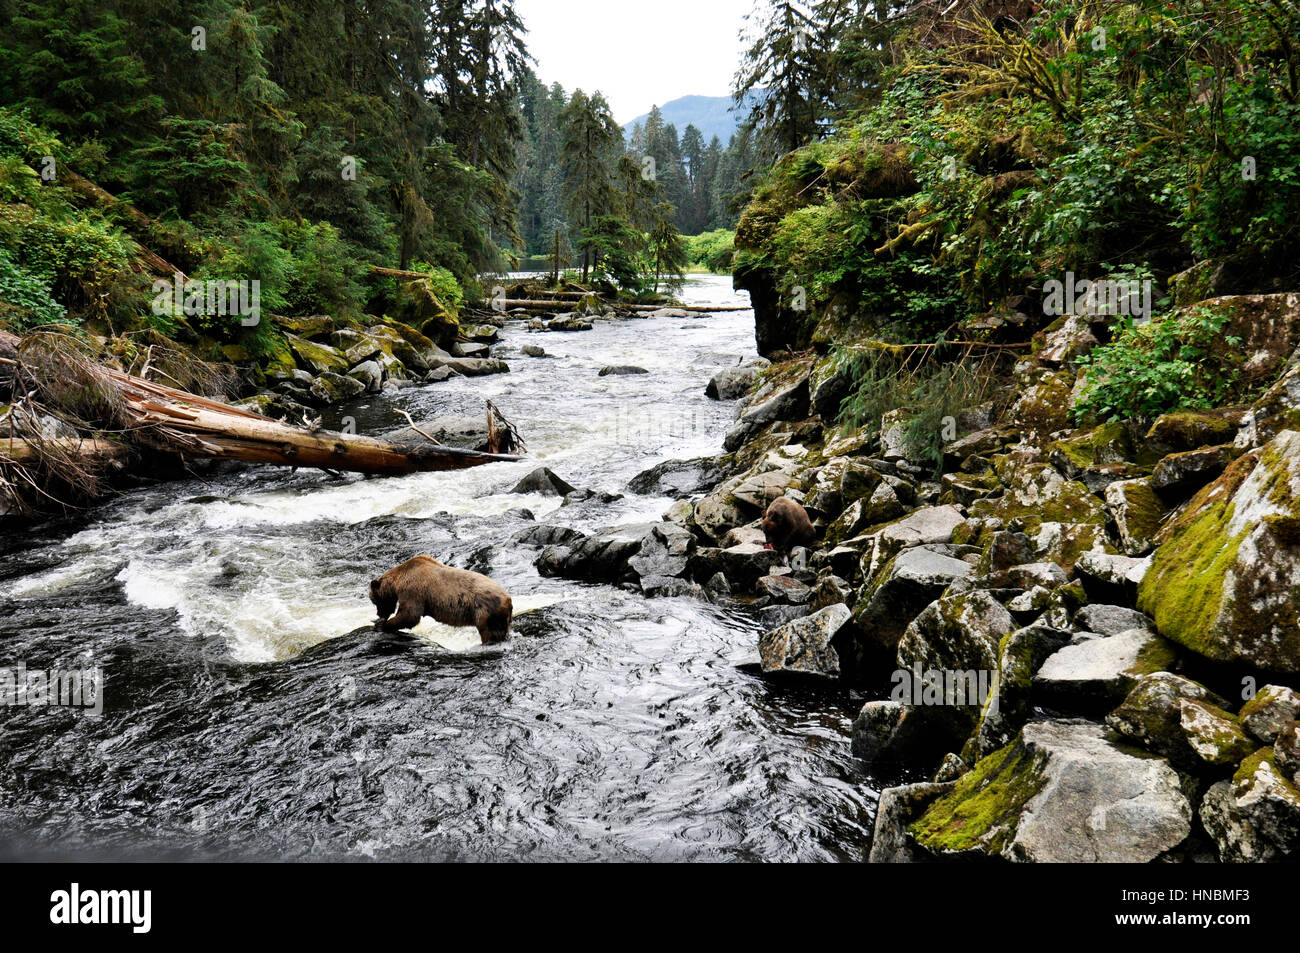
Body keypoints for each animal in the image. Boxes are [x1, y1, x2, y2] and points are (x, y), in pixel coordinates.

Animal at [371, 553, 512, 642]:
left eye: (374, 601)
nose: (379, 614)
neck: (397, 583)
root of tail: (508, 600)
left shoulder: (412, 590)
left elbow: (410, 615)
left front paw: (382, 625)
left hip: (485, 612)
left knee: (490, 632)